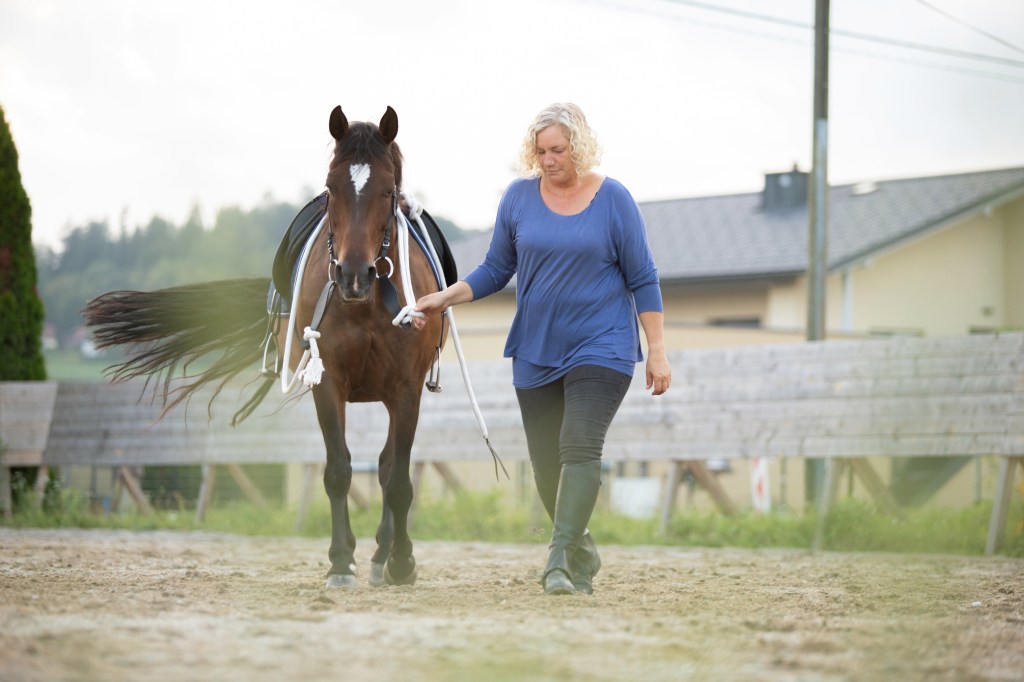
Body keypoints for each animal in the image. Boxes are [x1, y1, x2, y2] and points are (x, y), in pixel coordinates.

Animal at [83, 106, 446, 588]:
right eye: (331, 188)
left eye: (388, 191)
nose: (353, 275)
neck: (367, 304)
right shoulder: (327, 383)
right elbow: (338, 471)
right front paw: (339, 561)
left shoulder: (406, 389)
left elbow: (400, 481)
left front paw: (402, 562)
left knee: (389, 469)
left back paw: (384, 555)